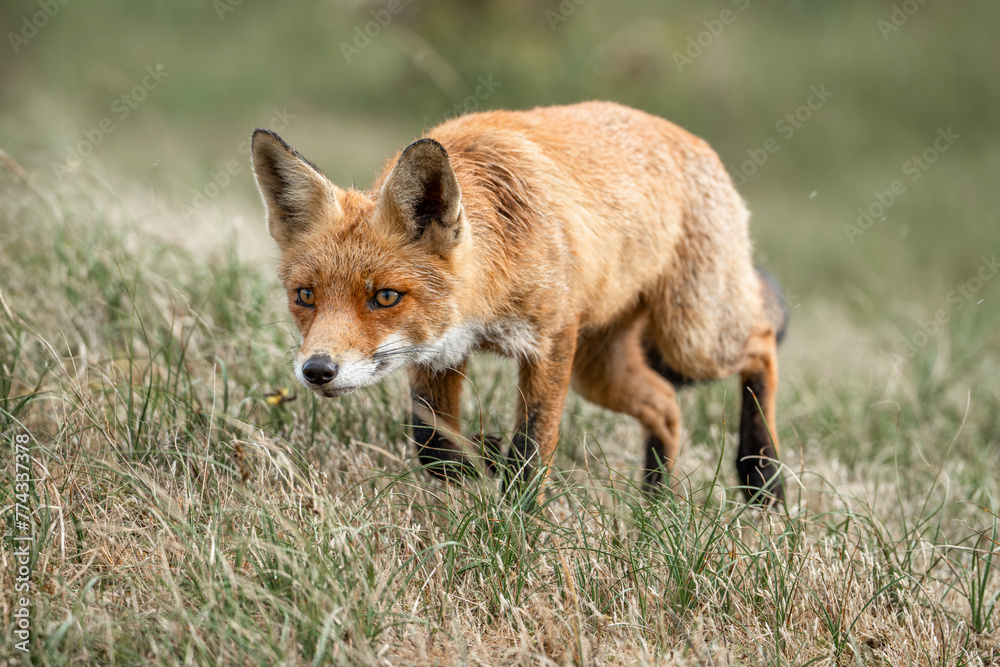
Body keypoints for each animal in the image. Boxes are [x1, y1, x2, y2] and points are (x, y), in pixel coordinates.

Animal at [251, 101, 787, 504]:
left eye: (385, 296)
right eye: (305, 296)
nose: (317, 370)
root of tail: (692, 139)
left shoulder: (550, 341)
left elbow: (530, 449)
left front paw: (518, 526)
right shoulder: (436, 351)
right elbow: (434, 449)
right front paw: (479, 458)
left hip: (690, 338)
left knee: (761, 342)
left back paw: (762, 477)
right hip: (599, 370)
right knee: (666, 405)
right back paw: (654, 507)